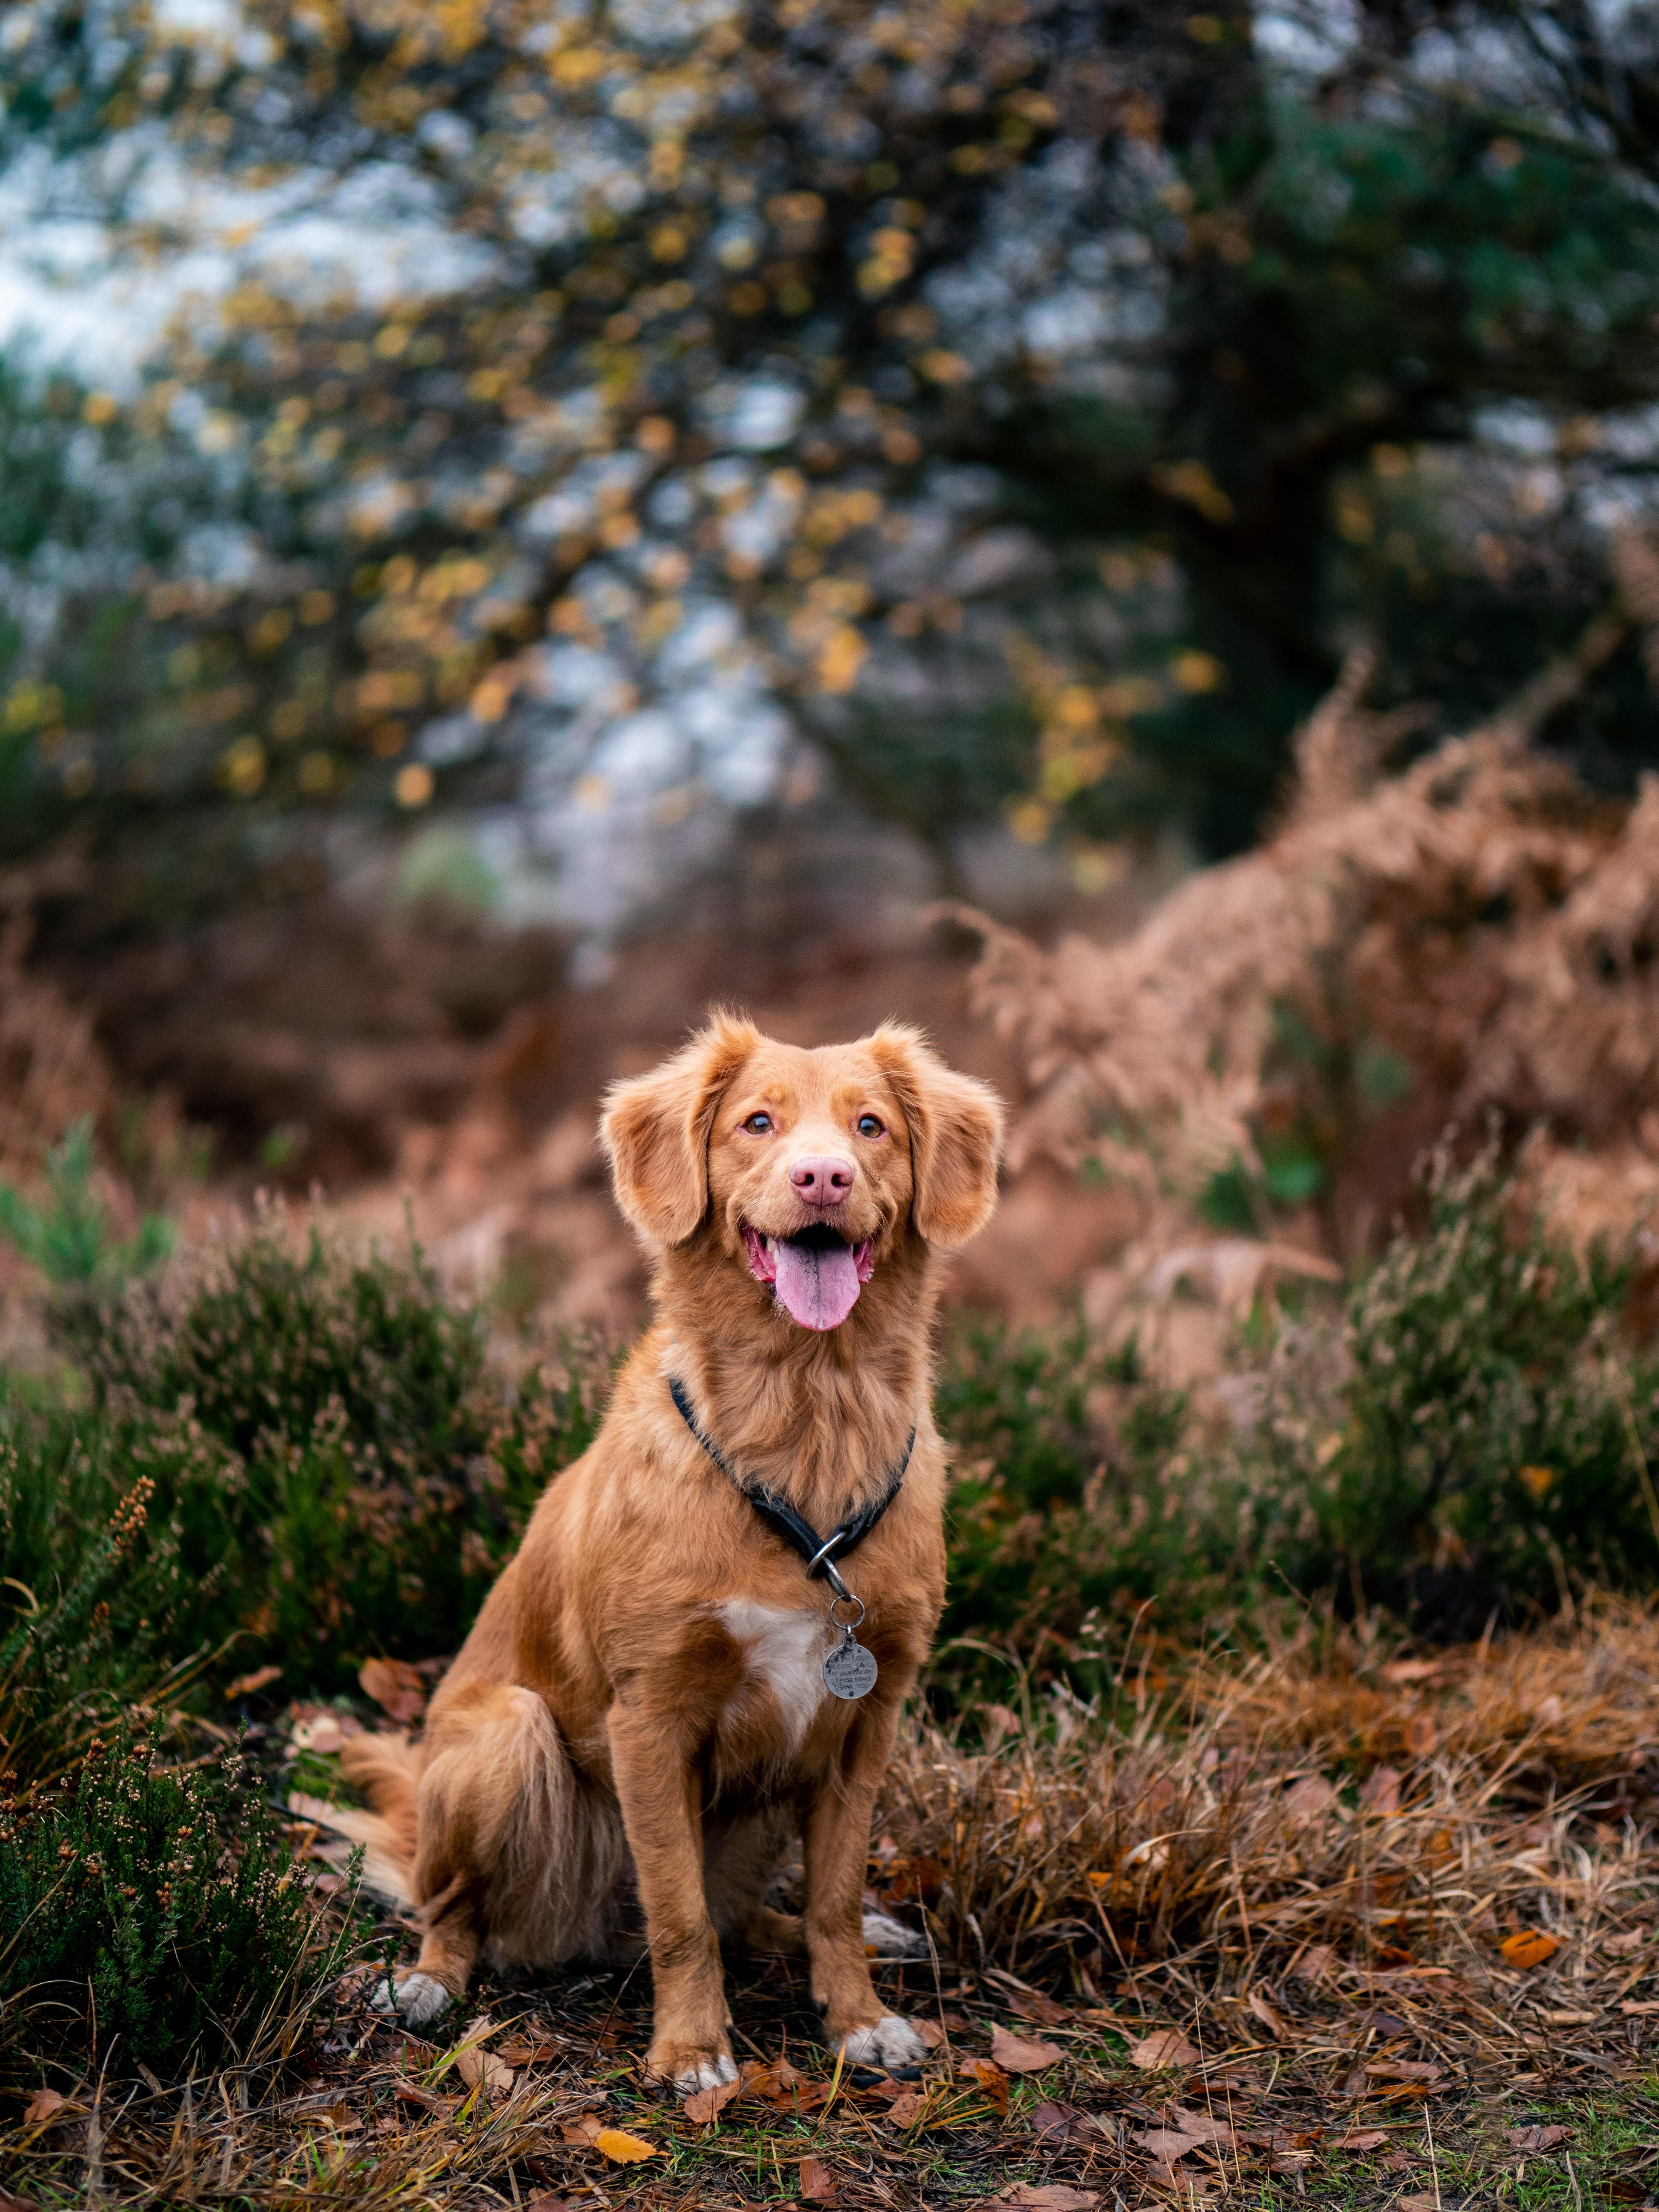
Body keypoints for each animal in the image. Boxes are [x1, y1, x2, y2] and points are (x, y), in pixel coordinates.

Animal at [325, 1013, 1000, 2079]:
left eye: (872, 1127)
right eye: (758, 1122)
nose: (824, 1178)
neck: (808, 1411)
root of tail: (588, 1935)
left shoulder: (867, 1718)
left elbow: (834, 1899)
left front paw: (857, 2017)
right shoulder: (652, 1715)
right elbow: (678, 1914)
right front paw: (691, 2050)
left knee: (752, 1919)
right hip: (506, 1738)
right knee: (463, 1910)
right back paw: (431, 1982)